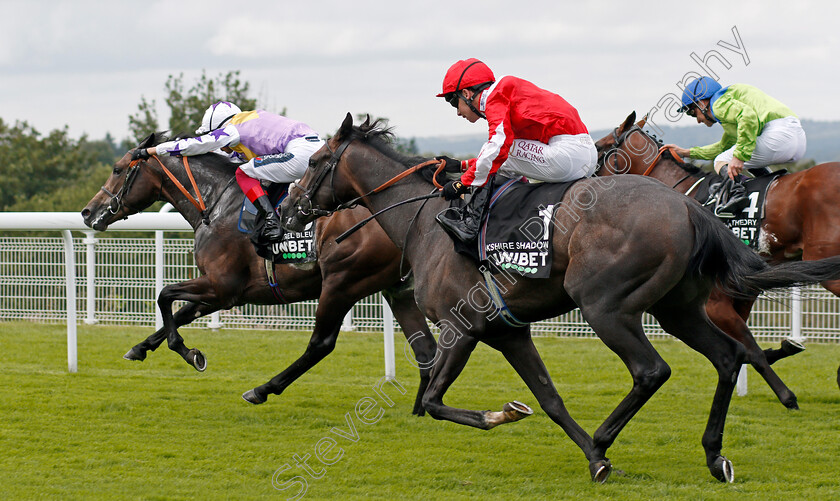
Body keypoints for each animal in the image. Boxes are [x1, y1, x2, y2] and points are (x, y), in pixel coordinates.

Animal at [79, 131, 440, 412]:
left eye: (117, 169)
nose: (87, 212)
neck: (216, 202)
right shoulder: (226, 293)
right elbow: (180, 311)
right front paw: (141, 348)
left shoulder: (222, 286)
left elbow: (164, 295)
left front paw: (189, 353)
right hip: (395, 289)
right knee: (426, 350)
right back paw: (420, 409)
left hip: (342, 282)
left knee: (321, 344)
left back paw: (262, 389)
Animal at [592, 112, 840, 394]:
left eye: (599, 146)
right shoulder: (740, 296)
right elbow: (751, 351)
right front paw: (786, 348)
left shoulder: (714, 304)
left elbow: (751, 351)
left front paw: (787, 393)